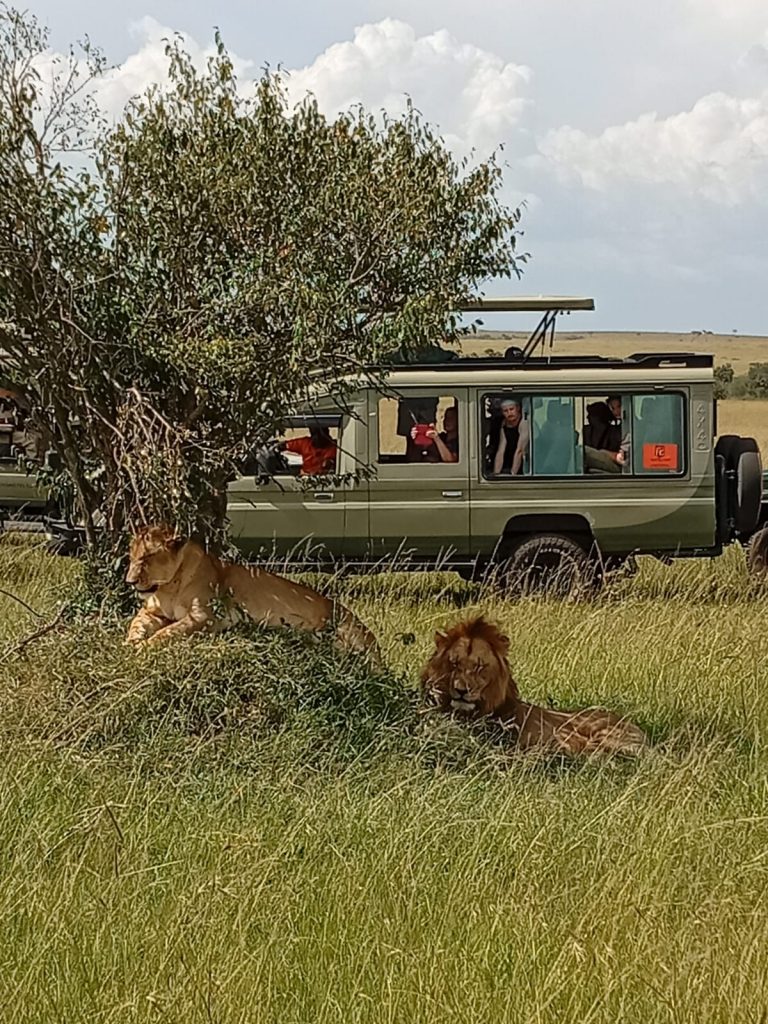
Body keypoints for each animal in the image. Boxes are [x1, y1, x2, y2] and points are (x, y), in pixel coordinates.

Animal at [124, 524, 381, 661]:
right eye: (132, 556)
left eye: (147, 558)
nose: (130, 581)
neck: (168, 588)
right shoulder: (152, 612)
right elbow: (136, 624)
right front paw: (131, 643)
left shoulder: (206, 616)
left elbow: (168, 632)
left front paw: (144, 647)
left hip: (345, 627)